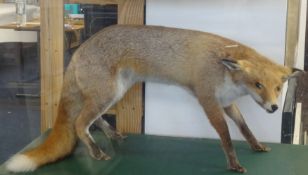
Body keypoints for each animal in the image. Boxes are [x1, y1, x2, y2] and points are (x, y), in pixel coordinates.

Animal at [5, 25, 304, 174]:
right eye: (258, 85)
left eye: (278, 88)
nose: (273, 107)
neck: (223, 70)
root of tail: (81, 48)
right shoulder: (208, 100)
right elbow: (226, 137)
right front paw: (233, 164)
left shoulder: (227, 102)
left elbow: (244, 128)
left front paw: (256, 145)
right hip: (106, 94)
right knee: (79, 124)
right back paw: (96, 151)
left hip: (112, 93)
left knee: (93, 119)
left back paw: (112, 134)